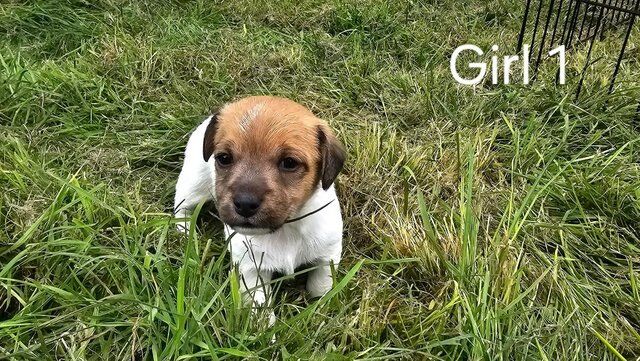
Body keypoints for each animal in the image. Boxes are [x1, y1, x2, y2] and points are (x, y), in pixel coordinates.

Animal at [174, 95, 344, 318]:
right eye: (224, 158)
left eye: (289, 163)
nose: (244, 204)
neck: (285, 229)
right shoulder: (251, 271)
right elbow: (259, 307)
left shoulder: (327, 257)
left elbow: (320, 287)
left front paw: (319, 311)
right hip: (193, 186)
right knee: (182, 208)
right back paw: (185, 233)